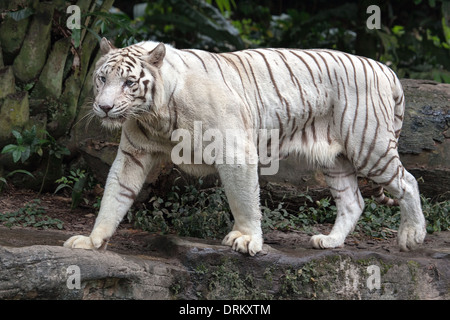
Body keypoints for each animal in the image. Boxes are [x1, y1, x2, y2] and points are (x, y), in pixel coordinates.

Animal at [63, 38, 426, 256]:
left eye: (128, 82)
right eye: (102, 78)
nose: (104, 108)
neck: (155, 115)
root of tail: (386, 70)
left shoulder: (233, 149)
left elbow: (243, 199)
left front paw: (247, 239)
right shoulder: (133, 154)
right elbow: (115, 194)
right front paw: (92, 241)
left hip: (369, 146)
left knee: (408, 182)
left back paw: (412, 236)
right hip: (334, 159)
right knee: (353, 201)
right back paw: (329, 241)